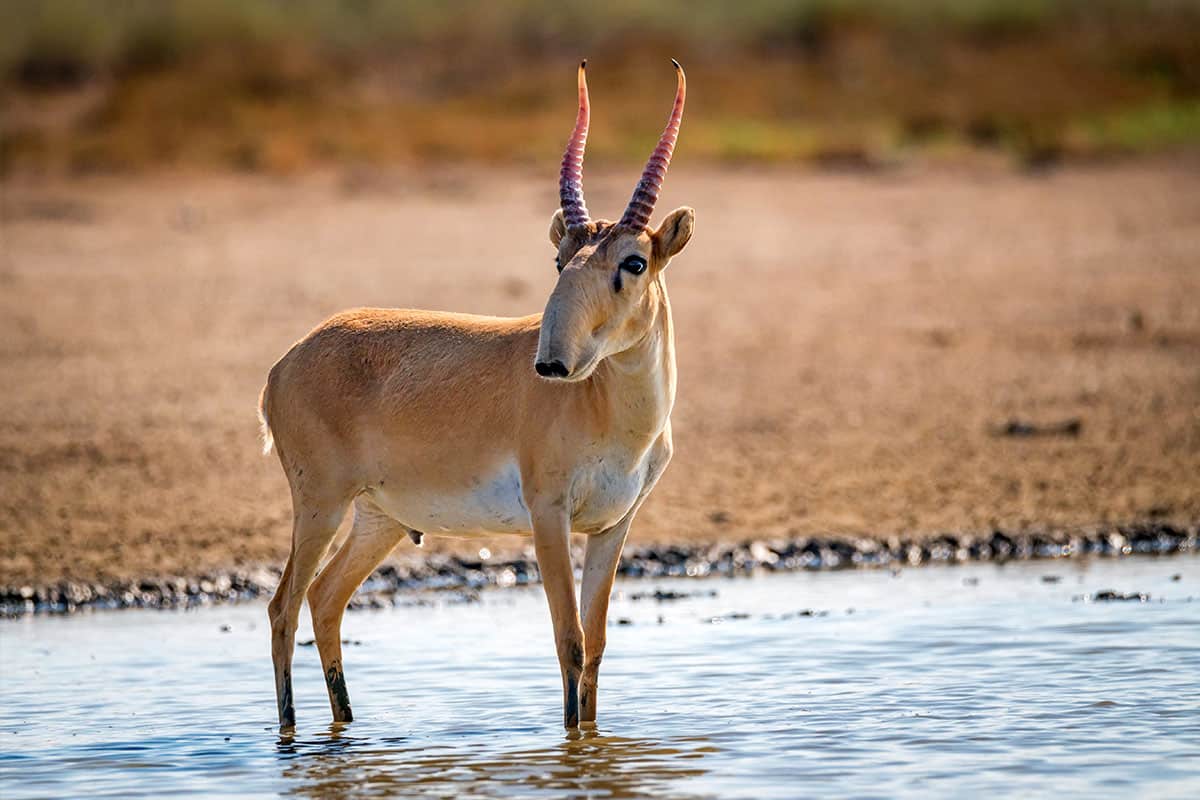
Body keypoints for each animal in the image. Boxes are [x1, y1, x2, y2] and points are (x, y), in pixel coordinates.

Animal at [262, 61, 696, 734]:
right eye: (560, 258)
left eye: (635, 261)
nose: (551, 363)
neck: (612, 414)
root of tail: (284, 365)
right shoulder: (549, 516)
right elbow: (569, 640)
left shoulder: (613, 526)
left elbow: (596, 645)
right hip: (320, 507)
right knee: (283, 606)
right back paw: (290, 736)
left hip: (379, 519)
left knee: (324, 598)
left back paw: (347, 725)